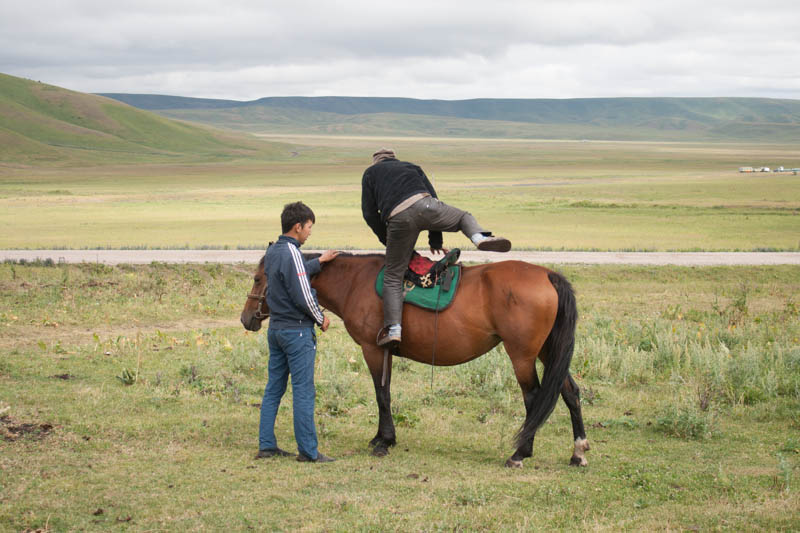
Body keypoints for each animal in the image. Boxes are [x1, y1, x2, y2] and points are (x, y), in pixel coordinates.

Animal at [239, 251, 588, 464]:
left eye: (257, 278)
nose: (246, 318)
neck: (355, 282)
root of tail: (548, 275)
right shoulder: (386, 352)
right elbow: (386, 392)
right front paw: (383, 437)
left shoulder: (373, 349)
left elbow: (381, 394)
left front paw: (384, 441)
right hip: (548, 351)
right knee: (569, 392)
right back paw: (578, 451)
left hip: (523, 356)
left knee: (534, 398)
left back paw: (520, 453)